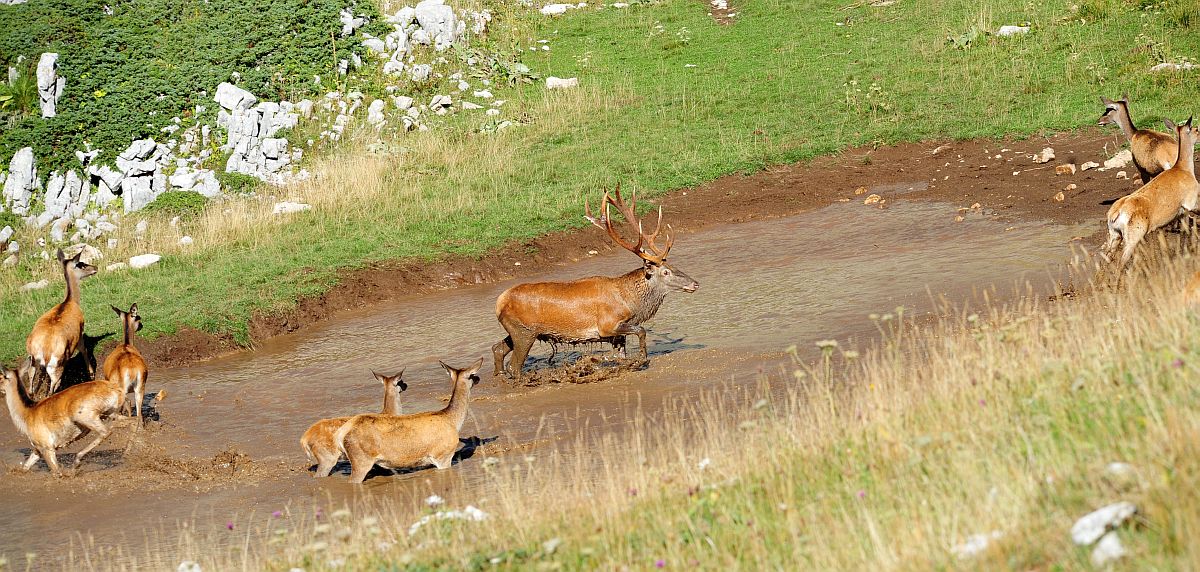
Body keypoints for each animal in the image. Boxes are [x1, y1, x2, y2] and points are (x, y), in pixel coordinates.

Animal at [26, 247, 97, 398]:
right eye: (81, 264)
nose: (95, 268)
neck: (70, 301)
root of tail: (45, 350)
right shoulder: (80, 332)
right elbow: (84, 350)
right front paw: (91, 374)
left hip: (33, 359)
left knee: (31, 379)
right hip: (57, 364)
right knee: (54, 385)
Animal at [333, 359, 482, 484]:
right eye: (472, 375)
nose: (478, 378)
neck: (453, 421)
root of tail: (340, 434)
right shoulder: (443, 455)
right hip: (361, 460)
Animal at [489, 185, 700, 383]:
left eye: (674, 266)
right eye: (666, 272)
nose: (695, 283)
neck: (631, 303)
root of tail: (499, 302)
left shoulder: (617, 335)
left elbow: (622, 355)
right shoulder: (608, 325)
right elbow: (641, 331)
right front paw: (642, 359)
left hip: (517, 329)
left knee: (498, 348)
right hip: (525, 332)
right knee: (514, 365)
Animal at [1104, 115, 1200, 272]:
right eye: (1196, 129)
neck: (1182, 169)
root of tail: (1116, 212)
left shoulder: (1176, 216)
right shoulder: (1189, 205)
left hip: (1114, 236)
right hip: (1132, 239)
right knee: (1120, 264)